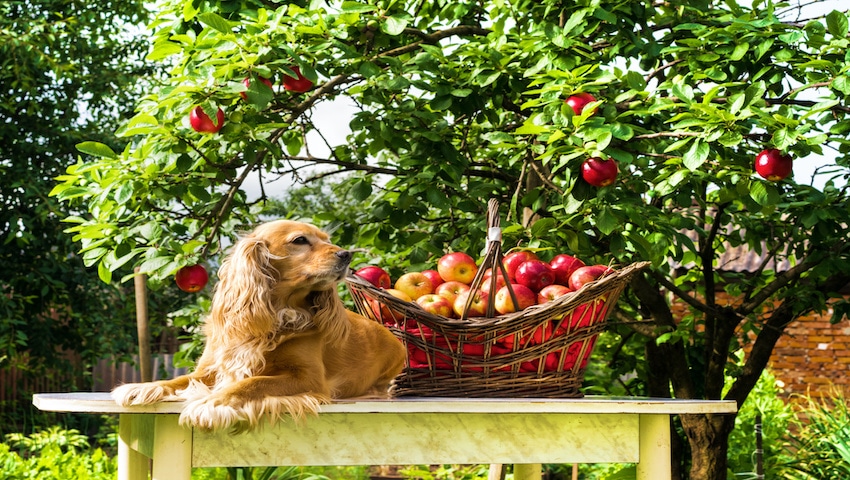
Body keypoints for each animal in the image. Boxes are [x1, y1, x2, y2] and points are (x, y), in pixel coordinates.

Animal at [111, 220, 406, 432]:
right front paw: (143, 387)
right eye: (300, 240)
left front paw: (211, 402)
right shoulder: (213, 367)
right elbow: (180, 379)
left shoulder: (308, 378)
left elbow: (253, 382)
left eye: (327, 240)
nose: (346, 255)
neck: (279, 312)